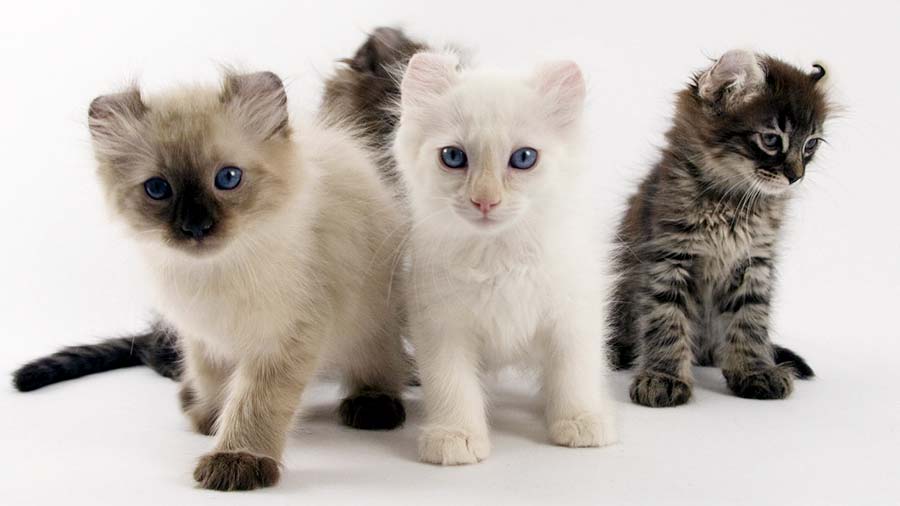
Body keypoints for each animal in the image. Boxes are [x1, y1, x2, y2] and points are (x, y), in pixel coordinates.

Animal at [84, 69, 408, 488]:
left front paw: (236, 459)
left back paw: (372, 403)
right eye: (158, 189)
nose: (196, 227)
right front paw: (211, 416)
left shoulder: (282, 337)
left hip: (369, 317)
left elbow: (255, 403)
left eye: (228, 178)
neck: (215, 273)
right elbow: (213, 381)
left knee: (378, 359)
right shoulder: (202, 336)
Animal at [386, 49, 620, 464]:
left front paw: (581, 419)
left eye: (524, 158)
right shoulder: (440, 323)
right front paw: (456, 434)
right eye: (453, 156)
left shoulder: (573, 312)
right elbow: (452, 384)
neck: (498, 256)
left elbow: (574, 370)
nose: (485, 201)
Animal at [608, 50, 828, 408]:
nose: (796, 176)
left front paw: (755, 370)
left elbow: (750, 320)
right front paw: (663, 377)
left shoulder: (754, 262)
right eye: (771, 140)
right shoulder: (668, 256)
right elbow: (666, 319)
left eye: (810, 145)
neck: (732, 202)